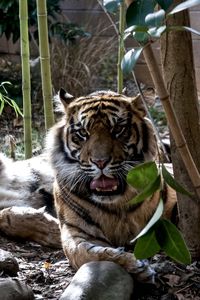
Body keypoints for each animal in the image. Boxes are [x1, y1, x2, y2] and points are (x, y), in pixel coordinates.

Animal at [47, 88, 177, 282]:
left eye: (118, 129)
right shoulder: (75, 231)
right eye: (83, 133)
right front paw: (135, 266)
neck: (116, 203)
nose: (100, 162)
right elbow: (88, 254)